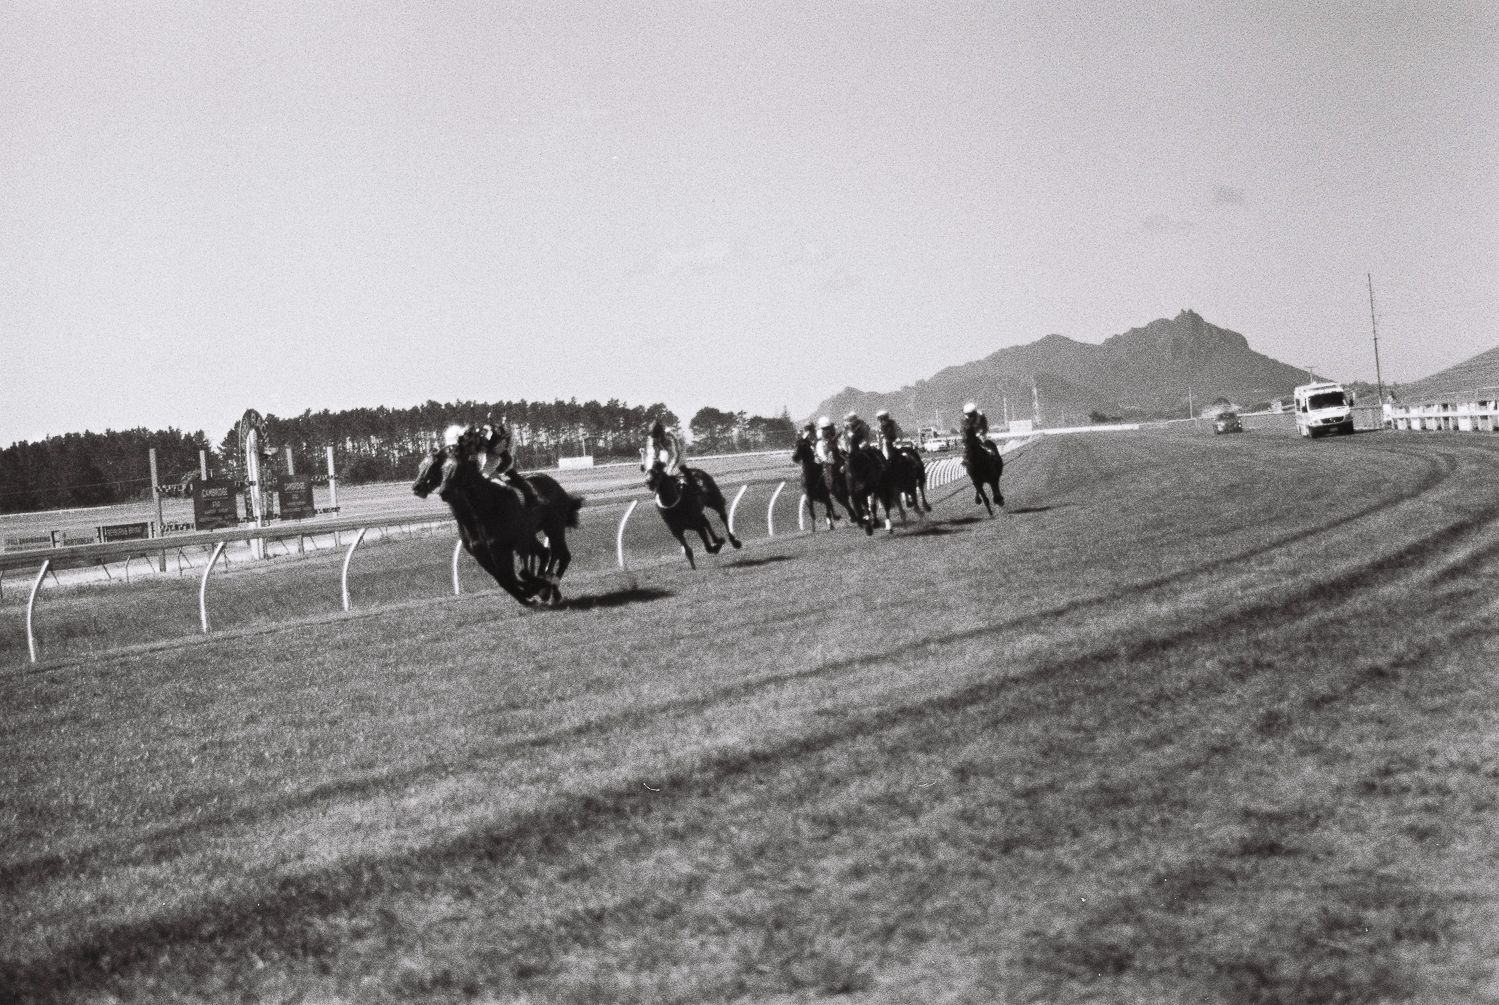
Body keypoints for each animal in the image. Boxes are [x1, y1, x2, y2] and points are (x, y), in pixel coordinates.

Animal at [413, 456, 581, 606]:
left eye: (458, 468)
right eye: (441, 469)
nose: (417, 486)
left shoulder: (507, 547)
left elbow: (518, 574)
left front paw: (534, 589)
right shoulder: (484, 554)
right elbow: (504, 578)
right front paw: (526, 595)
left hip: (553, 527)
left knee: (559, 554)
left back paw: (548, 587)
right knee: (548, 554)